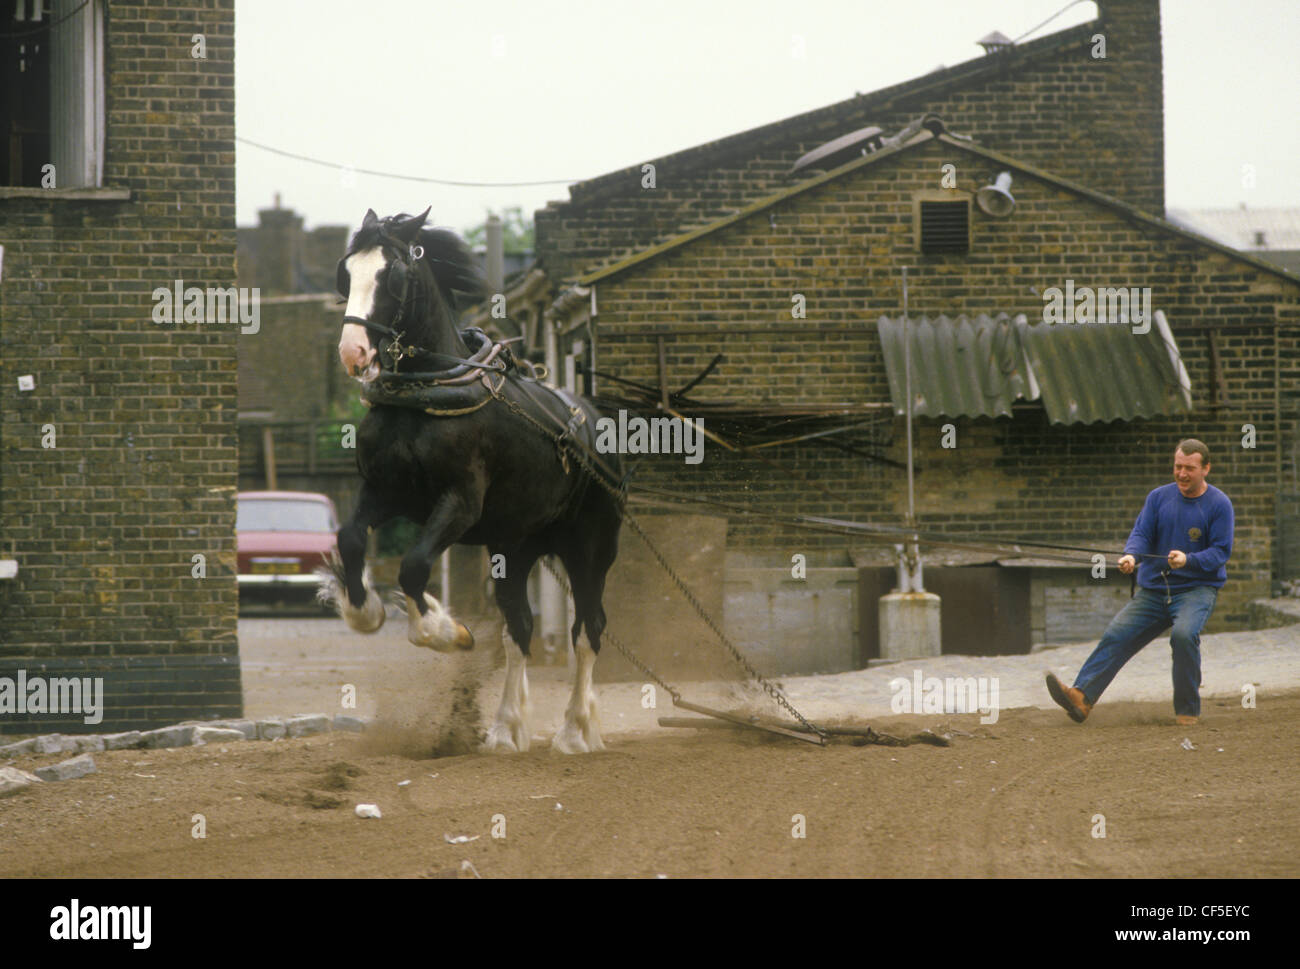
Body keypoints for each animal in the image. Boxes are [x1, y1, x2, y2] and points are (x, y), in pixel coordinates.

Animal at [325, 208, 629, 754]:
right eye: (347, 272)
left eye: (392, 275)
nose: (353, 352)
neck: (425, 395)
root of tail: (594, 420)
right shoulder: (384, 493)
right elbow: (352, 538)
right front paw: (364, 609)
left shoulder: (460, 504)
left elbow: (414, 566)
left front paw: (444, 629)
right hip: (515, 545)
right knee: (520, 628)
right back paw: (506, 728)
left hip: (590, 546)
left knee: (587, 629)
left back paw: (576, 730)